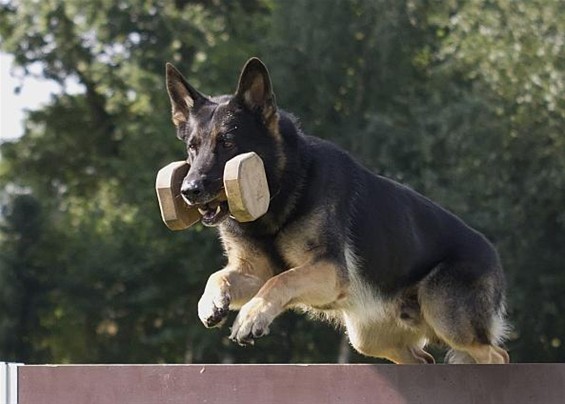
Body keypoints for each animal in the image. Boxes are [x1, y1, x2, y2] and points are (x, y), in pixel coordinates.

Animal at [165, 58, 508, 364]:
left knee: (496, 354)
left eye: (227, 143)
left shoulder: (327, 269)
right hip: (369, 339)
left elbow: (282, 280)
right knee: (425, 358)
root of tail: (494, 254)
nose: (189, 191)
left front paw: (252, 316)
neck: (280, 194)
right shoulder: (252, 271)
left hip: (446, 318)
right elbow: (220, 276)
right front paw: (210, 302)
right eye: (193, 147)